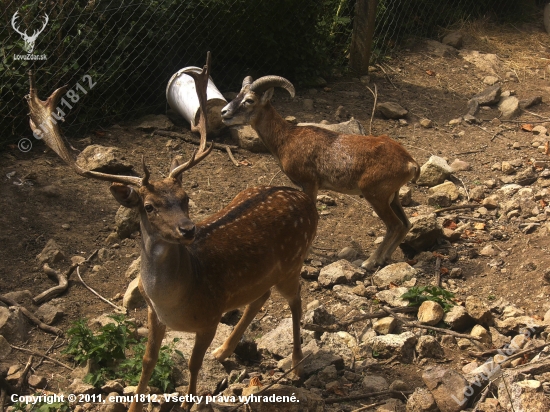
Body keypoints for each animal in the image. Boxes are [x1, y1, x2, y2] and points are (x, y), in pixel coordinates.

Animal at [27, 54, 320, 412]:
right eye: (149, 206)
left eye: (186, 198)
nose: (188, 229)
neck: (176, 300)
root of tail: (305, 200)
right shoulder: (154, 314)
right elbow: (147, 361)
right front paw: (134, 405)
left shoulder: (210, 316)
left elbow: (193, 365)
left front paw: (192, 403)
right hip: (268, 273)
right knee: (260, 297)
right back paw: (225, 351)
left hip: (294, 259)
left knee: (296, 302)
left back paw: (296, 366)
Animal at [222, 76, 420, 270]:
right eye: (238, 95)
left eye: (249, 100)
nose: (224, 113)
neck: (286, 139)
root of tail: (410, 163)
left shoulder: (309, 183)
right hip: (392, 196)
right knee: (405, 224)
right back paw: (384, 258)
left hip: (376, 195)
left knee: (394, 225)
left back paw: (370, 262)